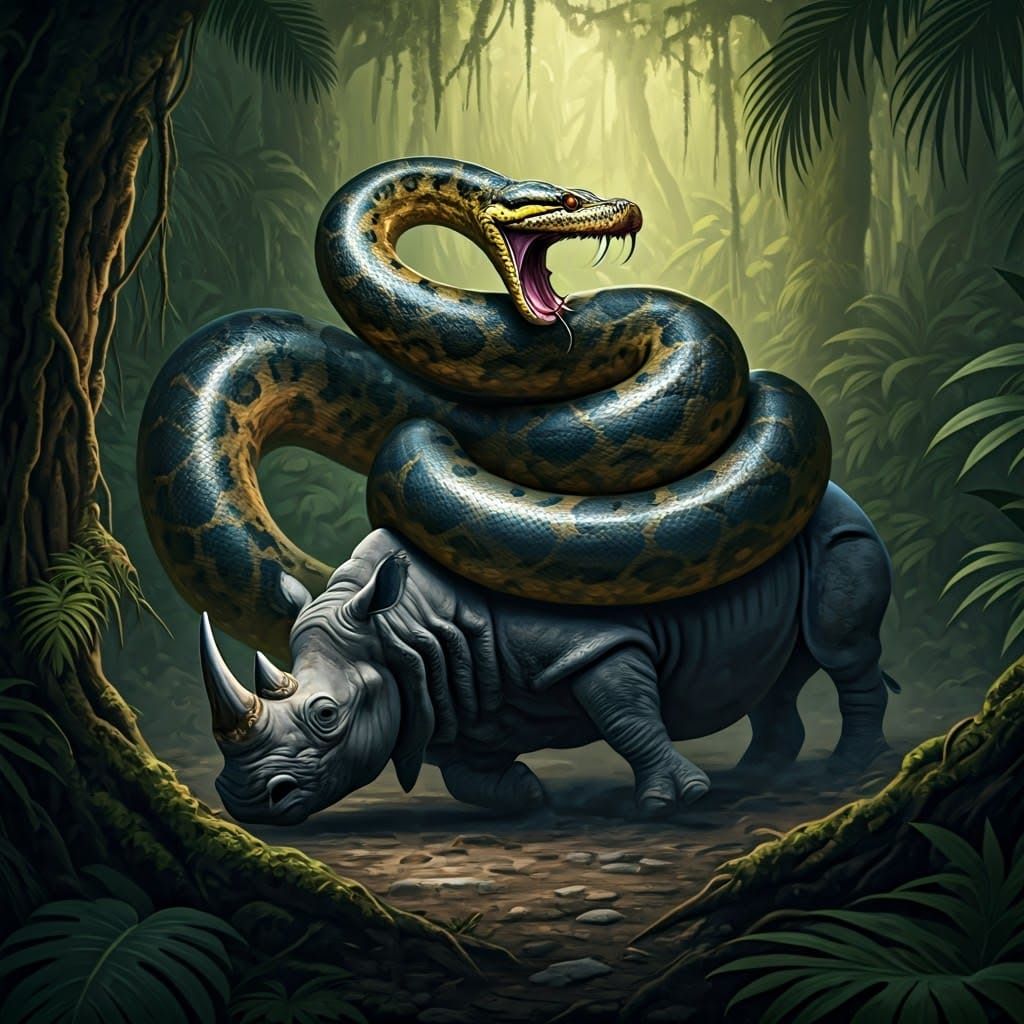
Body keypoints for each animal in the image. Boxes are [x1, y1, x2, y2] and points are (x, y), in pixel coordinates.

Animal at [202, 482, 896, 825]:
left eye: (326, 715)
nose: (245, 803)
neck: (399, 626)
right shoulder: (447, 694)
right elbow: (464, 771)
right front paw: (529, 796)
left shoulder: (593, 644)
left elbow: (626, 717)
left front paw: (676, 802)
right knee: (776, 677)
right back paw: (758, 775)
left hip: (839, 528)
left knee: (842, 650)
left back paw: (846, 770)